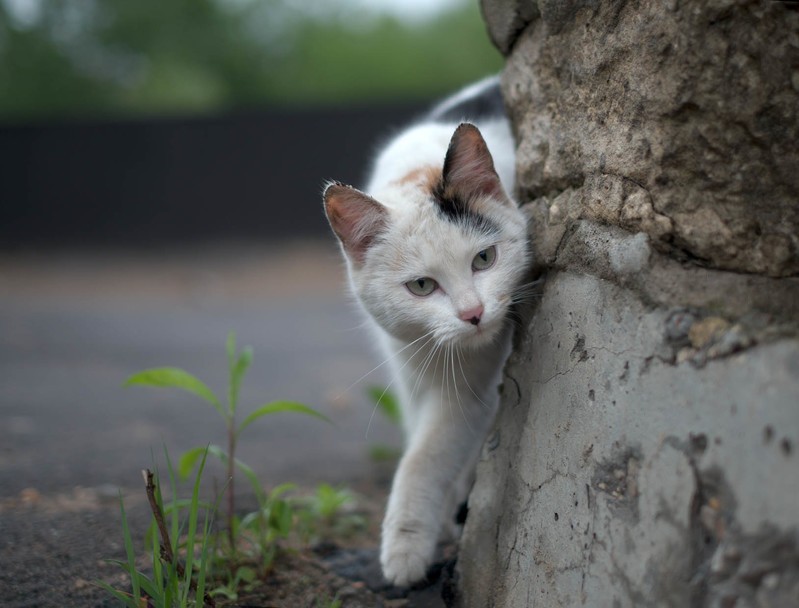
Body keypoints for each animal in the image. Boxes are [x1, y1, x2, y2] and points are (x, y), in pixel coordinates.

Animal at [318, 75, 532, 584]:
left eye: (484, 259)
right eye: (421, 286)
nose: (474, 313)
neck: (417, 173)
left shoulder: (469, 385)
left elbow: (425, 455)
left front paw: (404, 548)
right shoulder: (408, 360)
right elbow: (419, 435)